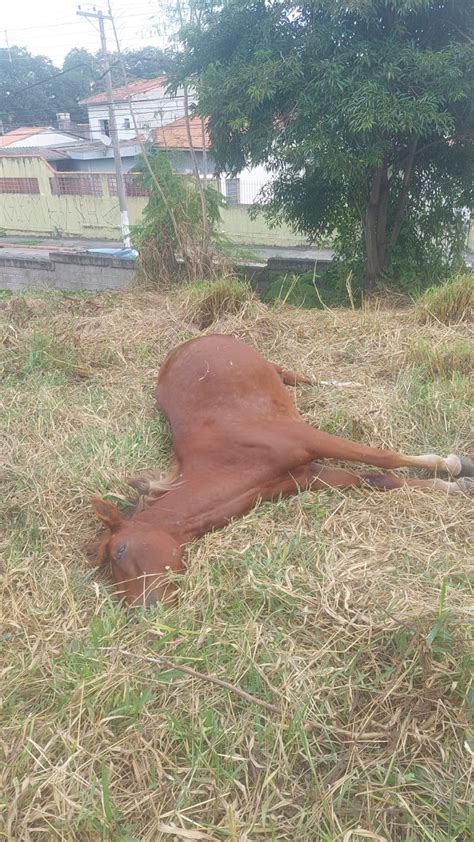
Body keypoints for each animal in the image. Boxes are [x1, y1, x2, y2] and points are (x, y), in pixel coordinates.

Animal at [90, 334, 472, 604]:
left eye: (120, 552)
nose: (147, 610)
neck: (224, 457)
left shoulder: (307, 438)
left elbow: (384, 456)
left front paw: (457, 464)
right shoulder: (309, 476)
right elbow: (380, 478)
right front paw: (456, 486)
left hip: (272, 367)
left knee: (302, 377)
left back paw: (351, 385)